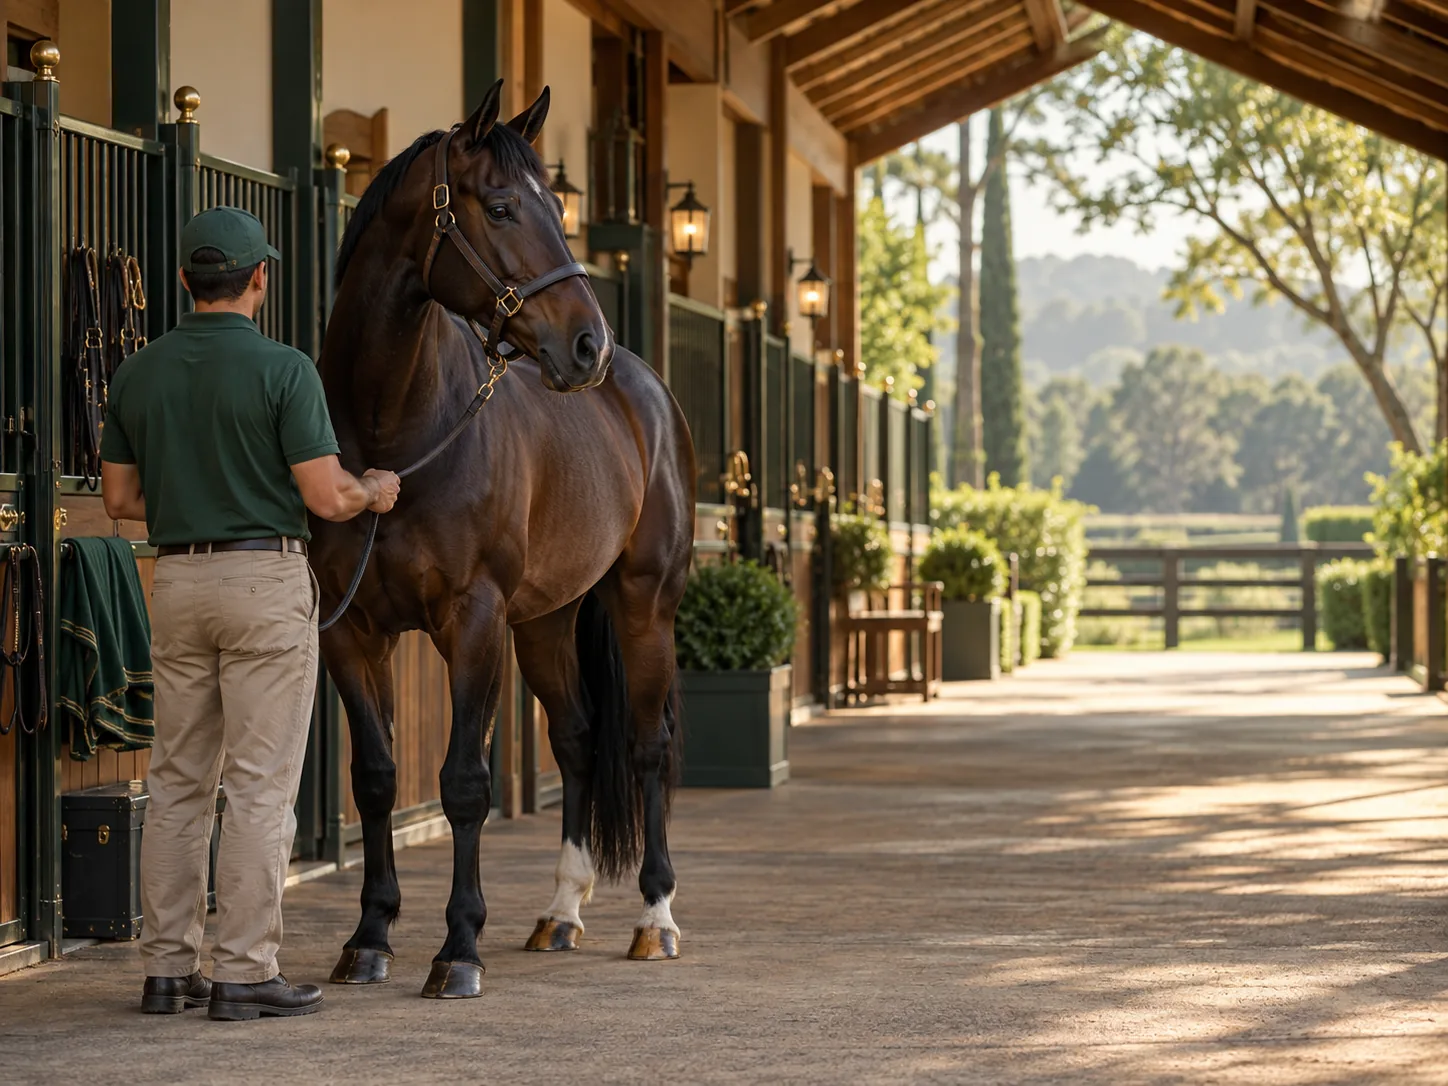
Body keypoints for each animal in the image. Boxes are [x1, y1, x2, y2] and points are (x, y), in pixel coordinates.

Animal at [309, 79, 695, 999]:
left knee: (647, 745)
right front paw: (369, 937)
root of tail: (643, 388)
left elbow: (464, 783)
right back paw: (559, 913)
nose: (587, 344)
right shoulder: (350, 629)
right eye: (501, 206)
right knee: (580, 738)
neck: (395, 434)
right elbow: (376, 779)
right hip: (547, 622)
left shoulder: (473, 622)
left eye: (559, 207)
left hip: (643, 605)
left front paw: (457, 949)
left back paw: (654, 918)